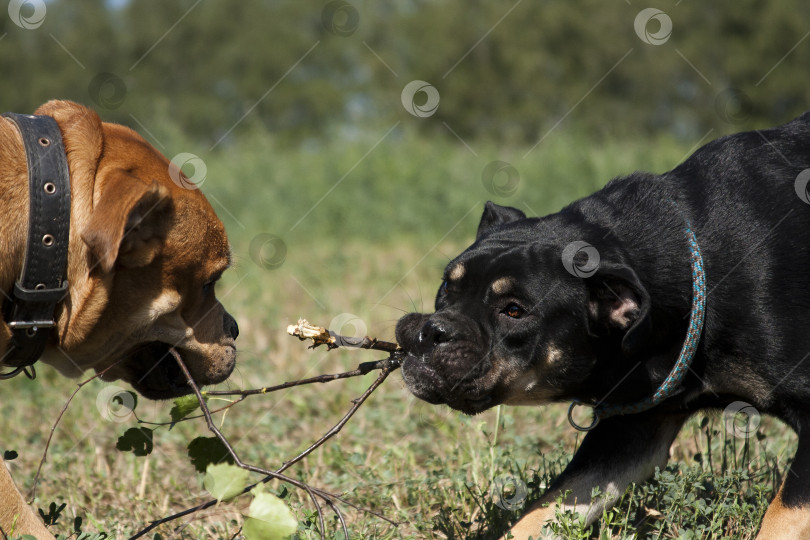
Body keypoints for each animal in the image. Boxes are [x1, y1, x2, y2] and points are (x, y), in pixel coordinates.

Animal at [394, 112, 808, 536]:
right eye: (448, 285)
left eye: (514, 311)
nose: (431, 331)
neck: (700, 275)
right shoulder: (631, 428)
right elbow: (547, 508)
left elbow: (782, 517)